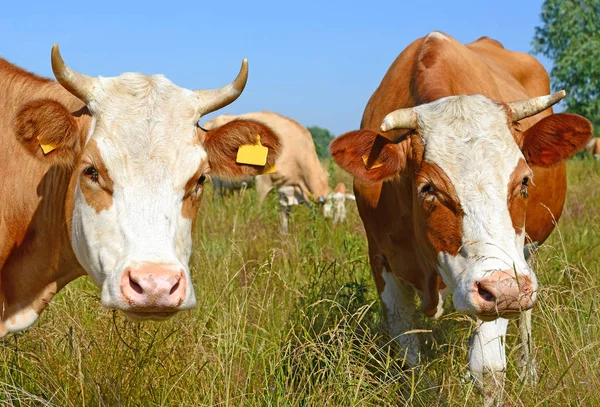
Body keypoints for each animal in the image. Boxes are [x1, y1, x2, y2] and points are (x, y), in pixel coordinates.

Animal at [204, 111, 354, 233]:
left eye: (342, 218)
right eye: (330, 216)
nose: (335, 233)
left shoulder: (286, 187)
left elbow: (284, 214)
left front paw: (284, 234)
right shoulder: (262, 182)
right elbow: (258, 209)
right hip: (216, 181)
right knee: (216, 200)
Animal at [328, 30, 592, 406]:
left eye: (525, 181)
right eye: (428, 188)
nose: (507, 290)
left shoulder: (499, 283)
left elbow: (489, 371)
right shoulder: (381, 260)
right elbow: (409, 360)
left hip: (524, 258)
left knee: (525, 316)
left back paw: (529, 371)